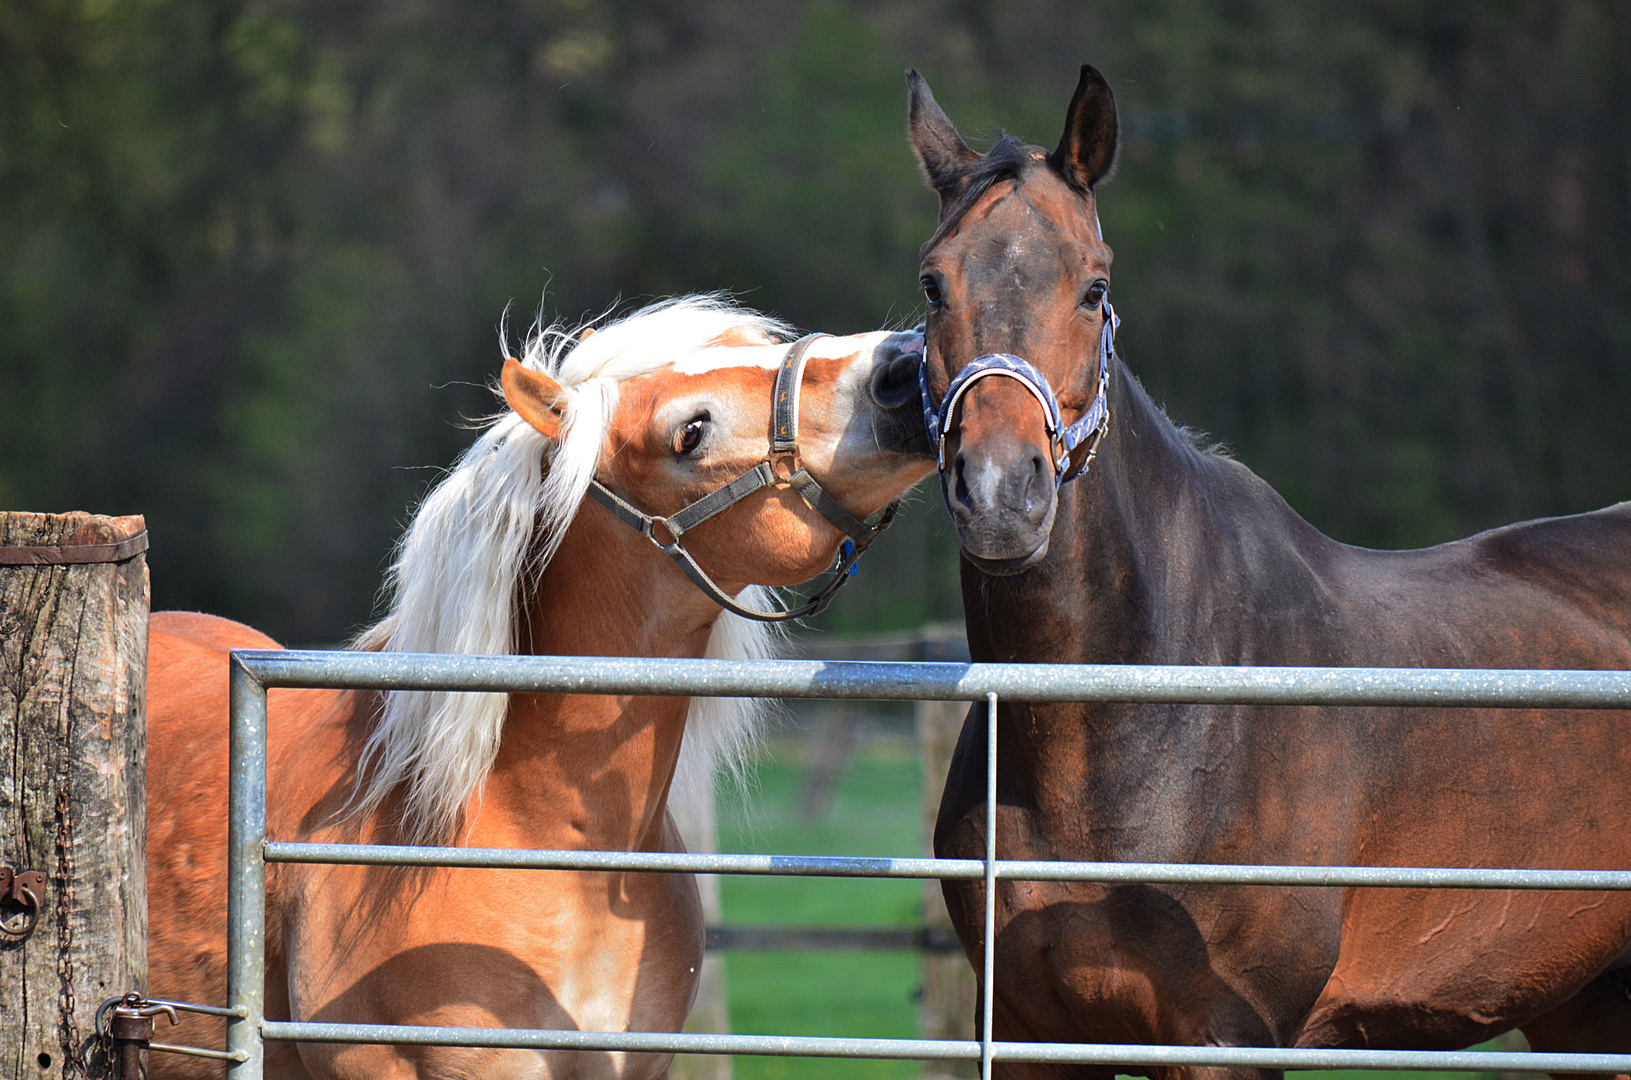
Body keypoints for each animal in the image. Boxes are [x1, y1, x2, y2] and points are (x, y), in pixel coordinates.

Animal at [906, 67, 1631, 1080]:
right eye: (932, 284)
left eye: (1094, 288)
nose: (1002, 495)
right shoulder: (1025, 1037)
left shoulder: (1224, 1037)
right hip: (1582, 1004)